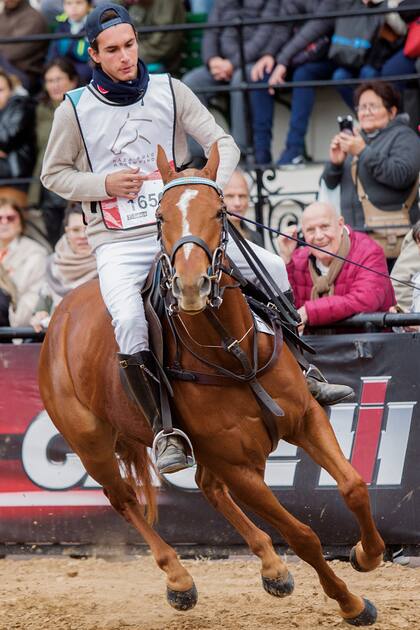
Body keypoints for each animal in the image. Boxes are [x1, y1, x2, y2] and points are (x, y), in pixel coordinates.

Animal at [38, 146, 384, 624]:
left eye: (219, 213)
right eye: (160, 216)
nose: (190, 285)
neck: (231, 352)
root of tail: (59, 316)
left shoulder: (305, 420)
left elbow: (353, 486)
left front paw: (367, 554)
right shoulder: (238, 466)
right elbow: (303, 536)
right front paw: (351, 603)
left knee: (206, 486)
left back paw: (272, 569)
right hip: (91, 443)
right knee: (124, 499)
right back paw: (180, 580)